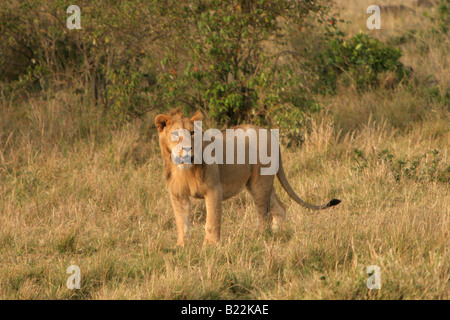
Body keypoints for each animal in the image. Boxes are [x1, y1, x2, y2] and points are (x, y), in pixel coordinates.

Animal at [156, 109, 342, 246]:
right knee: (279, 208)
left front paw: (210, 246)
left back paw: (256, 238)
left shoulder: (214, 189)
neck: (183, 169)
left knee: (263, 214)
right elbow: (182, 222)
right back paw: (276, 234)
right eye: (175, 134)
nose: (187, 149)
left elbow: (212, 220)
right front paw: (182, 246)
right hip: (261, 183)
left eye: (192, 133)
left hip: (259, 183)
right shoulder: (178, 195)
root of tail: (269, 133)